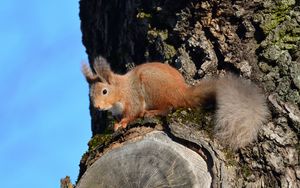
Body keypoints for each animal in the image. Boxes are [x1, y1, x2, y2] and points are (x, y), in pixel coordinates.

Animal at [82, 56, 270, 150]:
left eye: (104, 91)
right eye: (90, 94)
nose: (97, 107)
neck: (121, 89)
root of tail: (182, 93)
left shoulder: (132, 97)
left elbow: (133, 112)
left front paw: (122, 123)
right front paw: (115, 123)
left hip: (153, 86)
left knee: (169, 107)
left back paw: (152, 112)